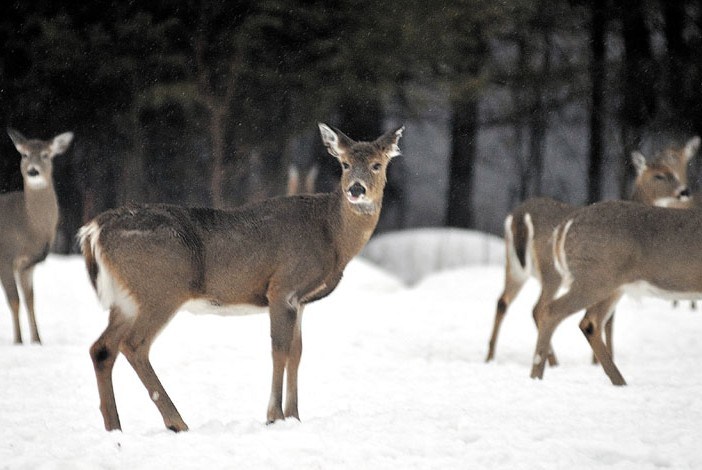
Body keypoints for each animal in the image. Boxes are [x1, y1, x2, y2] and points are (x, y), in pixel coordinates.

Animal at [0, 128, 74, 344]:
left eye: (46, 155)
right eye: (24, 154)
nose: (33, 171)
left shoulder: (27, 265)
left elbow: (30, 300)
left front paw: (37, 340)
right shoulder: (5, 257)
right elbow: (14, 300)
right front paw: (18, 341)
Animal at [78, 123, 403, 432]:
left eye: (377, 164)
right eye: (345, 164)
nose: (356, 189)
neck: (331, 233)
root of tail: (94, 230)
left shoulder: (300, 300)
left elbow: (297, 352)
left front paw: (295, 416)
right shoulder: (282, 287)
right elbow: (279, 350)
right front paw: (274, 417)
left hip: (126, 298)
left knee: (102, 349)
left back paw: (115, 427)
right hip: (160, 289)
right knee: (134, 345)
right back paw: (176, 422)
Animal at [485, 136, 699, 365]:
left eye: (673, 172)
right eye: (659, 175)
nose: (684, 191)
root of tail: (519, 216)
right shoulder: (613, 281)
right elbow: (608, 320)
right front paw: (599, 361)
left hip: (515, 267)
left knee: (503, 301)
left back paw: (490, 356)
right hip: (553, 272)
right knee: (538, 308)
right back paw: (552, 362)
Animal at [530, 199, 702, 385]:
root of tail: (565, 225)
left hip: (612, 285)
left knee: (590, 322)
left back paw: (619, 382)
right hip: (596, 277)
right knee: (551, 311)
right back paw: (536, 376)